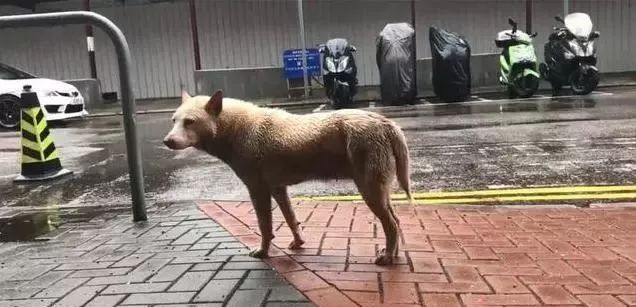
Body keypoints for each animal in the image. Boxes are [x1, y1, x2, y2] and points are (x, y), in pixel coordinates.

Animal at [164, 90, 412, 266]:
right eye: (174, 120)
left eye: (190, 122)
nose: (167, 141)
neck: (234, 129)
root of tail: (386, 123)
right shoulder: (278, 189)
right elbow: (291, 218)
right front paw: (298, 242)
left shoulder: (258, 190)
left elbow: (265, 227)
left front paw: (263, 252)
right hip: (379, 190)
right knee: (397, 221)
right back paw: (393, 254)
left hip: (369, 189)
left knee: (391, 224)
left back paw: (387, 258)